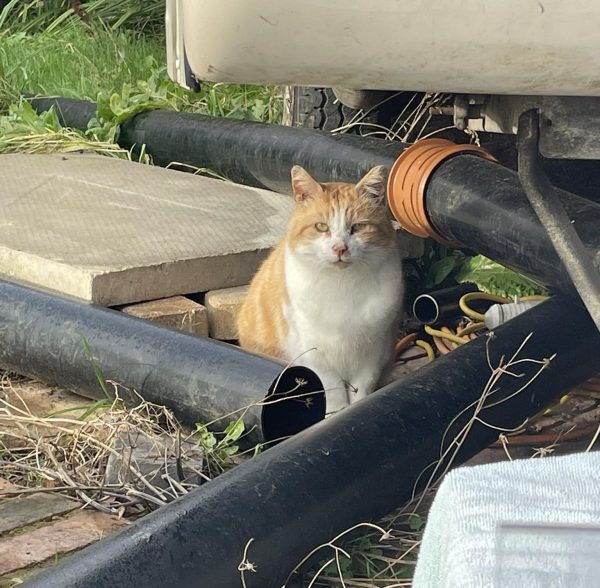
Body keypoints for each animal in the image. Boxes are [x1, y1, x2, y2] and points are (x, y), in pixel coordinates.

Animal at [238, 165, 404, 414]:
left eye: (358, 227)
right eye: (321, 226)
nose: (340, 248)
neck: (342, 285)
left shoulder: (373, 352)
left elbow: (361, 391)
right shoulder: (314, 352)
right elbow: (331, 390)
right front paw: (335, 413)